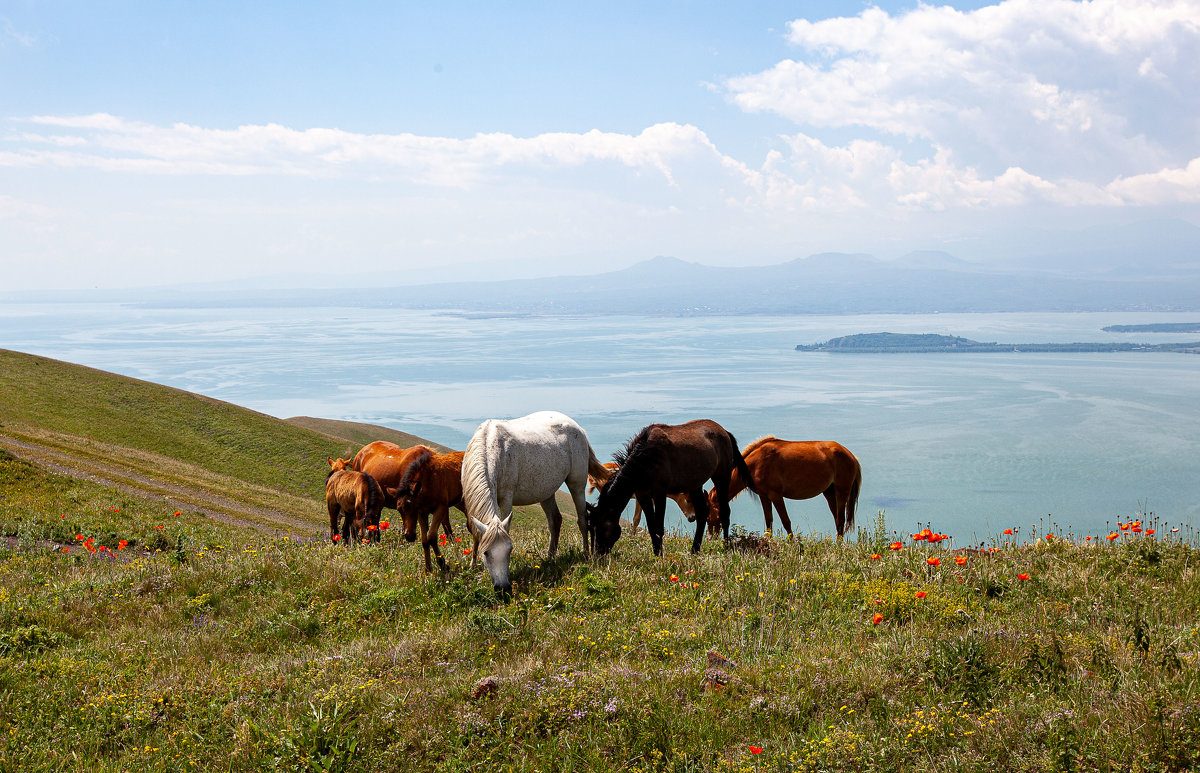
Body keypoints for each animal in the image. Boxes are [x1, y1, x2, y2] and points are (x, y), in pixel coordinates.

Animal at [458, 410, 609, 592]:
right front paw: (473, 566)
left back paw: (586, 554)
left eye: (509, 550)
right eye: (486, 553)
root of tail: (579, 429)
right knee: (555, 520)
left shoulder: (506, 498)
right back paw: (550, 557)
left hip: (576, 485)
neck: (489, 448)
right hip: (546, 492)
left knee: (582, 519)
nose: (503, 587)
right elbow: (476, 533)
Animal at [588, 420, 748, 559]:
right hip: (695, 484)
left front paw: (660, 556)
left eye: (602, 528)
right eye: (591, 528)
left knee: (725, 512)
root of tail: (724, 432)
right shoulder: (642, 494)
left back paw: (726, 546)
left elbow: (659, 527)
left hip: (722, 476)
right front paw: (656, 553)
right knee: (702, 513)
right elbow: (651, 527)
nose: (597, 553)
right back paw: (694, 549)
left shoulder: (659, 493)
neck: (645, 458)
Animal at [700, 436, 864, 540]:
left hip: (842, 491)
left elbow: (786, 522)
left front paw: (793, 545)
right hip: (829, 492)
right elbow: (769, 522)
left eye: (709, 516)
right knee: (837, 519)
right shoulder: (764, 496)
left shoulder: (776, 495)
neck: (756, 464)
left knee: (840, 520)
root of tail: (851, 456)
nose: (710, 538)